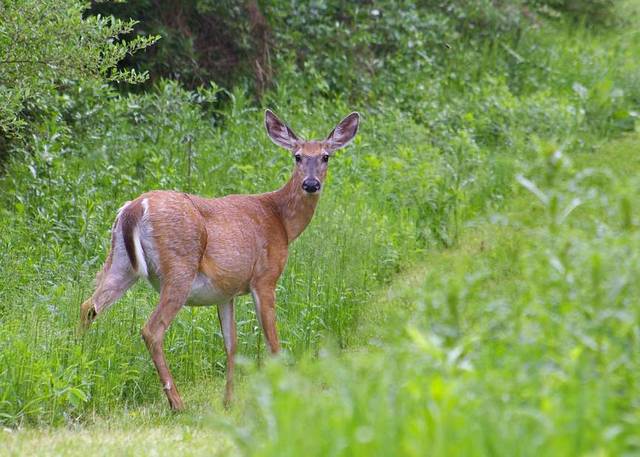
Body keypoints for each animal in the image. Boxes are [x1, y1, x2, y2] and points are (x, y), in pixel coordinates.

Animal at [79, 110, 360, 410]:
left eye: (325, 156)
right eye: (297, 156)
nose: (310, 184)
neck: (281, 221)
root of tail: (134, 207)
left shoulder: (227, 292)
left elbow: (231, 344)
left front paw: (228, 401)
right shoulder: (265, 277)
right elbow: (273, 342)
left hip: (120, 262)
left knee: (89, 306)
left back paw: (80, 363)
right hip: (179, 268)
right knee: (151, 329)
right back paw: (176, 402)